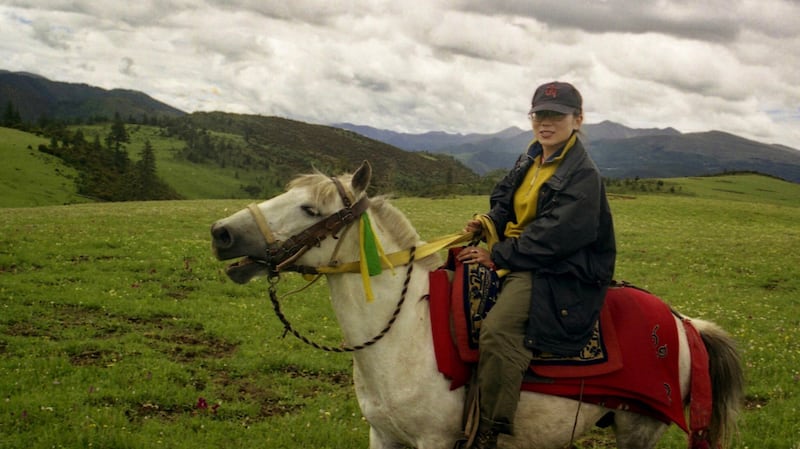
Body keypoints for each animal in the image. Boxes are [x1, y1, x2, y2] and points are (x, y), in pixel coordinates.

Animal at [212, 161, 744, 448]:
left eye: (309, 209)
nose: (221, 234)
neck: (404, 333)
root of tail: (682, 323)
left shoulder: (433, 440)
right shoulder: (383, 436)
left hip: (639, 429)